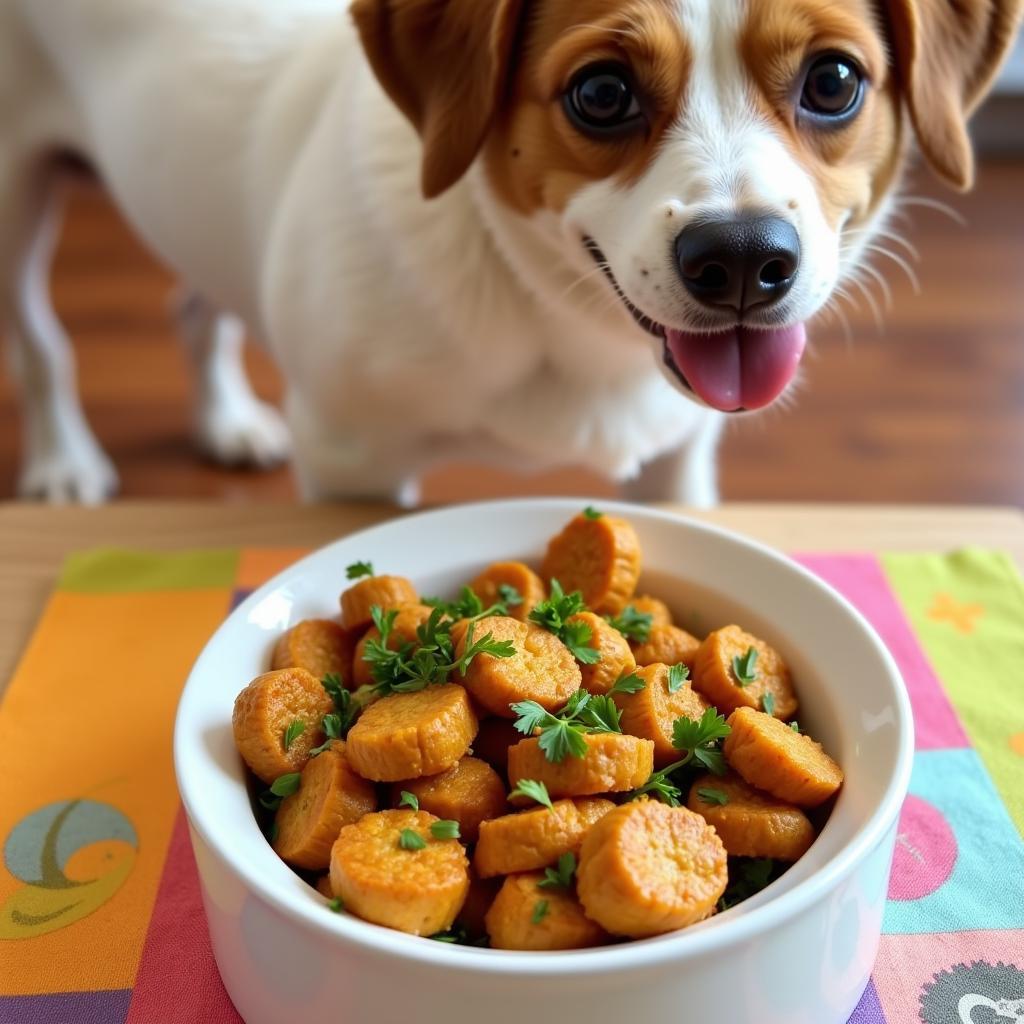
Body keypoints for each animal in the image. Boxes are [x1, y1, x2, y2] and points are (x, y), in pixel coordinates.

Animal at [0, 0, 1019, 503]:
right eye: (601, 93)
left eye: (834, 81)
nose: (739, 259)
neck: (568, 327)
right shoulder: (349, 467)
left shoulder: (680, 461)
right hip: (17, 198)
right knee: (43, 343)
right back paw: (64, 463)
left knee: (194, 304)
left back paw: (224, 419)